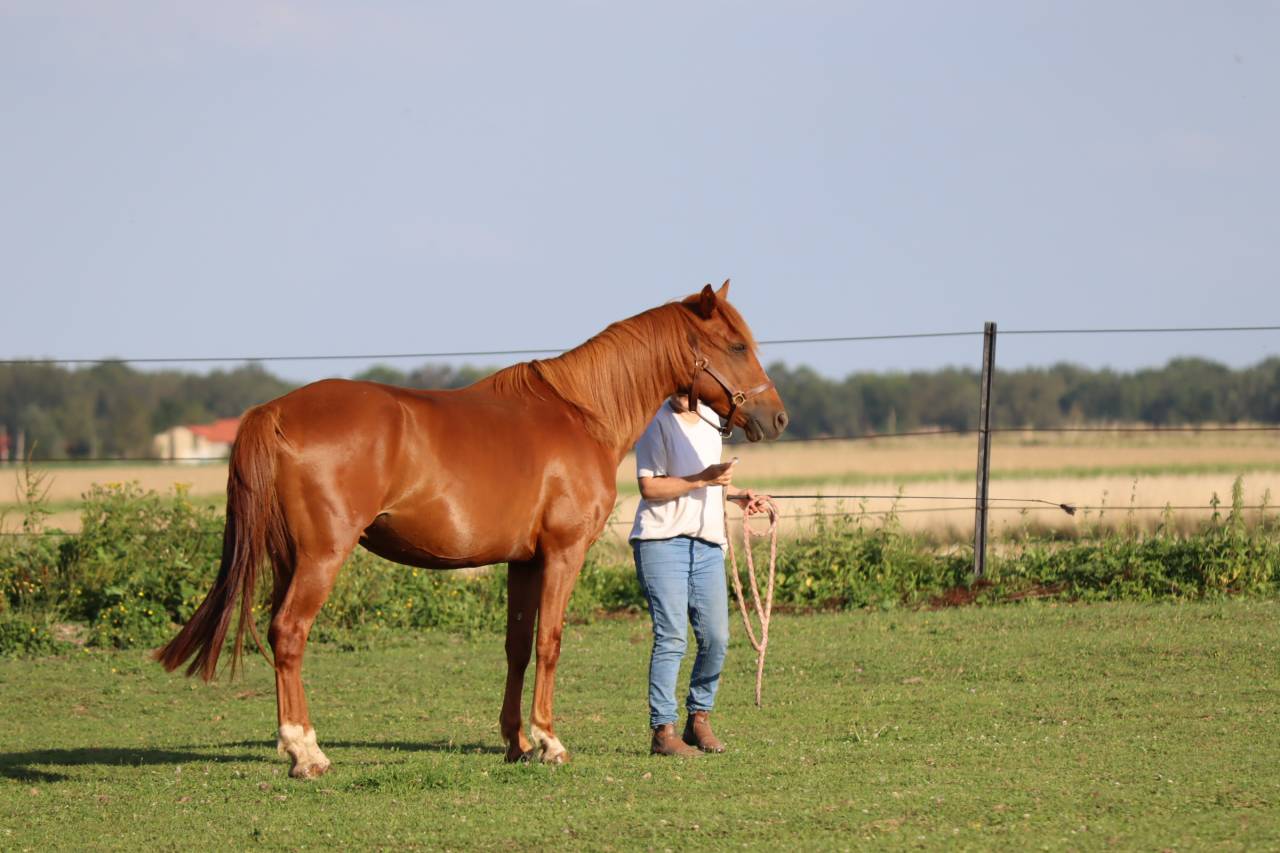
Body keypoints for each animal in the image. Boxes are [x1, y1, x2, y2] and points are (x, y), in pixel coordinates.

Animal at [155, 281, 788, 778]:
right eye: (736, 345)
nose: (777, 416)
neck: (581, 413)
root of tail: (276, 411)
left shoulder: (523, 561)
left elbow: (517, 647)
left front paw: (516, 743)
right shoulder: (562, 554)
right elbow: (550, 642)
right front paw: (549, 742)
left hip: (292, 557)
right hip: (321, 556)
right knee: (289, 634)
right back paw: (306, 754)